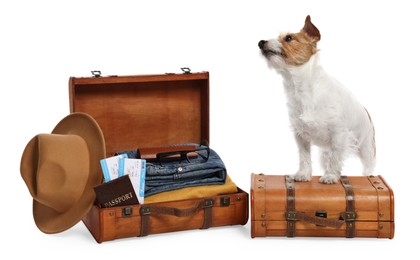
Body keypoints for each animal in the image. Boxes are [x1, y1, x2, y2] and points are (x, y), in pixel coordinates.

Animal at [258, 15, 376, 184]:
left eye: (289, 38)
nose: (260, 42)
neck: (302, 88)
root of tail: (367, 112)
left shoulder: (339, 134)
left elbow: (335, 158)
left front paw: (331, 176)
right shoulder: (300, 136)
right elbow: (304, 157)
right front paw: (303, 174)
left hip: (366, 148)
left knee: (367, 166)